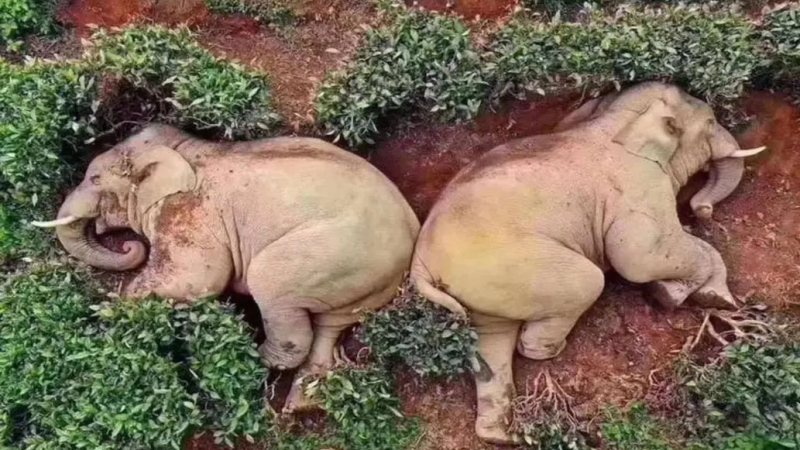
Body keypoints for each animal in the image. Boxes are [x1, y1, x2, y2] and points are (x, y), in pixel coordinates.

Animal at [32, 124, 420, 411]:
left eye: (94, 179)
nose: (130, 246)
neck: (185, 149)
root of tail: (412, 234)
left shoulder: (190, 213)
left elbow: (196, 280)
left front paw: (109, 310)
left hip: (335, 253)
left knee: (271, 286)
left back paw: (253, 358)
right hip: (363, 280)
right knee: (331, 323)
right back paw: (301, 403)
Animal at [409, 82, 766, 444]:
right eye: (709, 122)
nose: (700, 209)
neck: (614, 119)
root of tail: (420, 265)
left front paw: (705, 295)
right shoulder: (639, 186)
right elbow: (639, 258)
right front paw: (677, 295)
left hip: (480, 287)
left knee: (493, 339)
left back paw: (501, 435)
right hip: (511, 265)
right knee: (587, 283)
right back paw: (550, 352)